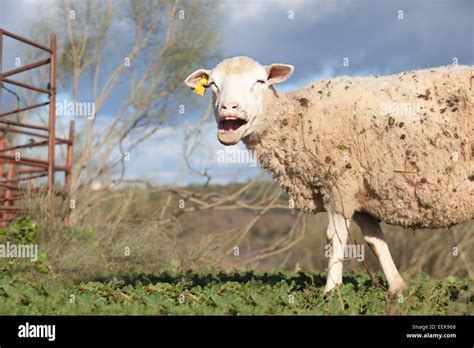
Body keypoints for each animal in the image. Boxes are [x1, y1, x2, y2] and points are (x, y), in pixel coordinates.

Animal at [185, 55, 474, 292]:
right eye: (213, 85)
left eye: (260, 81)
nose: (229, 108)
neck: (295, 120)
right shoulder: (360, 194)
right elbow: (375, 241)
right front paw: (397, 288)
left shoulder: (339, 184)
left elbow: (335, 239)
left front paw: (331, 292)